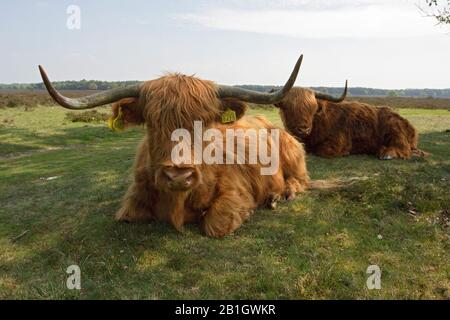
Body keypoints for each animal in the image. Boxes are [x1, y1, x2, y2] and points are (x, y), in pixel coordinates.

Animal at [38, 55, 312, 236]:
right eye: (152, 122)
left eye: (206, 122)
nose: (179, 175)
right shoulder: (133, 200)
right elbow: (127, 215)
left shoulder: (237, 190)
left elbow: (217, 224)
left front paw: (248, 212)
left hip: (292, 154)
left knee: (300, 180)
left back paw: (278, 196)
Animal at [276, 85, 428, 160]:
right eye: (288, 108)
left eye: (312, 109)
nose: (303, 129)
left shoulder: (338, 142)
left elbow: (322, 151)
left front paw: (345, 153)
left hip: (393, 126)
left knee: (403, 148)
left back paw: (387, 154)